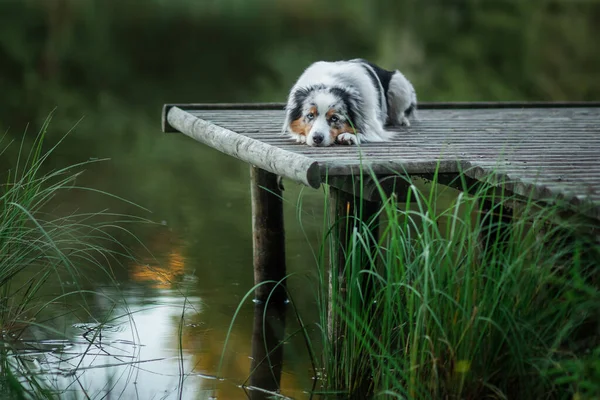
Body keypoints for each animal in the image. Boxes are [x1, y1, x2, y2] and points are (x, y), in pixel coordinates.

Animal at [282, 57, 418, 147]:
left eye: (334, 118)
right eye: (310, 115)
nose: (317, 138)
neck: (330, 82)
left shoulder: (373, 123)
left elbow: (367, 131)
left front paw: (349, 136)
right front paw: (300, 135)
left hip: (399, 83)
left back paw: (402, 120)